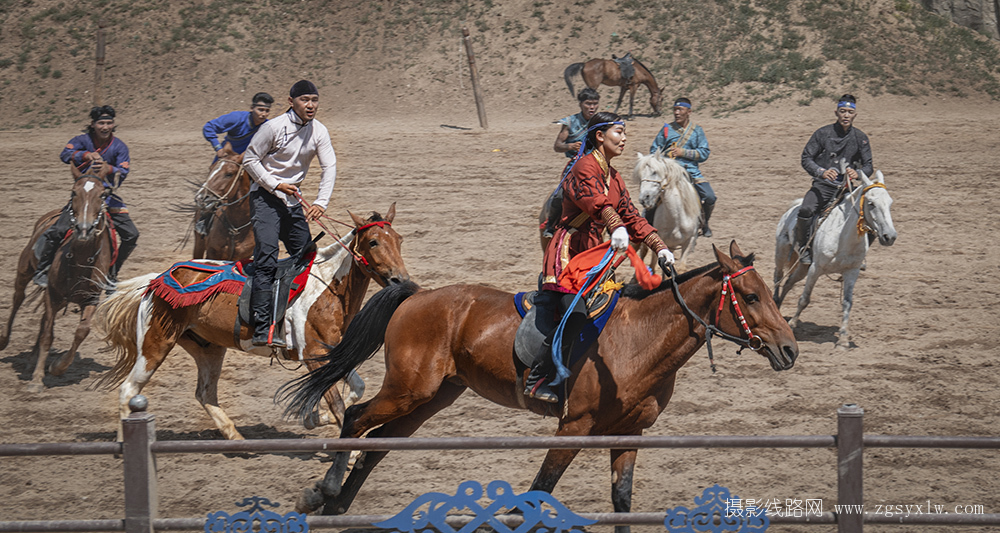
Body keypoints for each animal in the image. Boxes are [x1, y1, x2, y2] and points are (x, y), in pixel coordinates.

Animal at [0, 165, 117, 390]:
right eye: (74, 192)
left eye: (102, 194)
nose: (83, 229)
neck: (80, 261)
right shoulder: (52, 294)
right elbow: (48, 335)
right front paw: (37, 379)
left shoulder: (90, 299)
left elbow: (81, 331)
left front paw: (58, 367)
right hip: (24, 271)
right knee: (18, 299)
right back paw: (4, 339)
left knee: (43, 318)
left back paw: (32, 360)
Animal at [94, 206, 406, 438]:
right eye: (374, 241)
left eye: (399, 240)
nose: (400, 280)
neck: (327, 287)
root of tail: (155, 280)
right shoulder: (314, 353)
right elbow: (337, 401)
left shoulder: (332, 352)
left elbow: (356, 387)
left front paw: (316, 417)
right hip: (154, 345)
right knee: (129, 390)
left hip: (208, 348)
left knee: (205, 393)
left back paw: (236, 439)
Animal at [278, 242, 792, 532]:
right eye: (750, 297)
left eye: (768, 293)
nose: (789, 349)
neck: (636, 340)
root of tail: (418, 295)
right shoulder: (574, 428)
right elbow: (537, 493)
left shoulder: (630, 433)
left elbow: (622, 502)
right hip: (408, 390)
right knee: (354, 417)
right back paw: (324, 492)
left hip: (431, 398)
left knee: (378, 446)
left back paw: (338, 507)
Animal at [772, 168, 900, 348]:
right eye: (871, 203)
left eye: (890, 203)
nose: (890, 236)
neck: (842, 237)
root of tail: (793, 208)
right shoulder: (815, 269)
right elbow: (805, 298)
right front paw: (793, 324)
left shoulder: (852, 272)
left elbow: (847, 303)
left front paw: (843, 339)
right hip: (782, 252)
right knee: (778, 276)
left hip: (803, 266)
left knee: (789, 282)